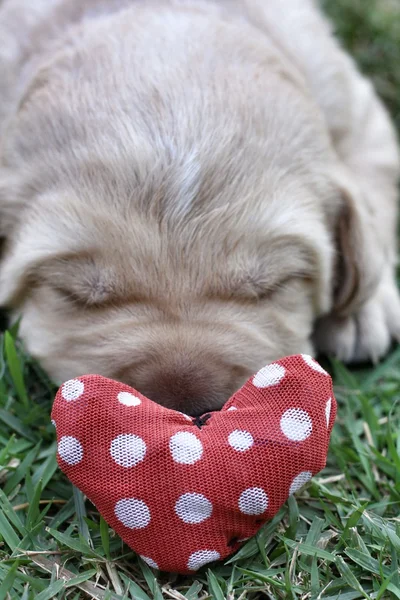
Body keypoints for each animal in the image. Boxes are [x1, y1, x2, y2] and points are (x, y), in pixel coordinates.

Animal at [0, 0, 400, 412]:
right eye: (73, 293)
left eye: (274, 285)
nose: (187, 407)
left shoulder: (354, 104)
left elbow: (374, 195)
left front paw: (363, 311)